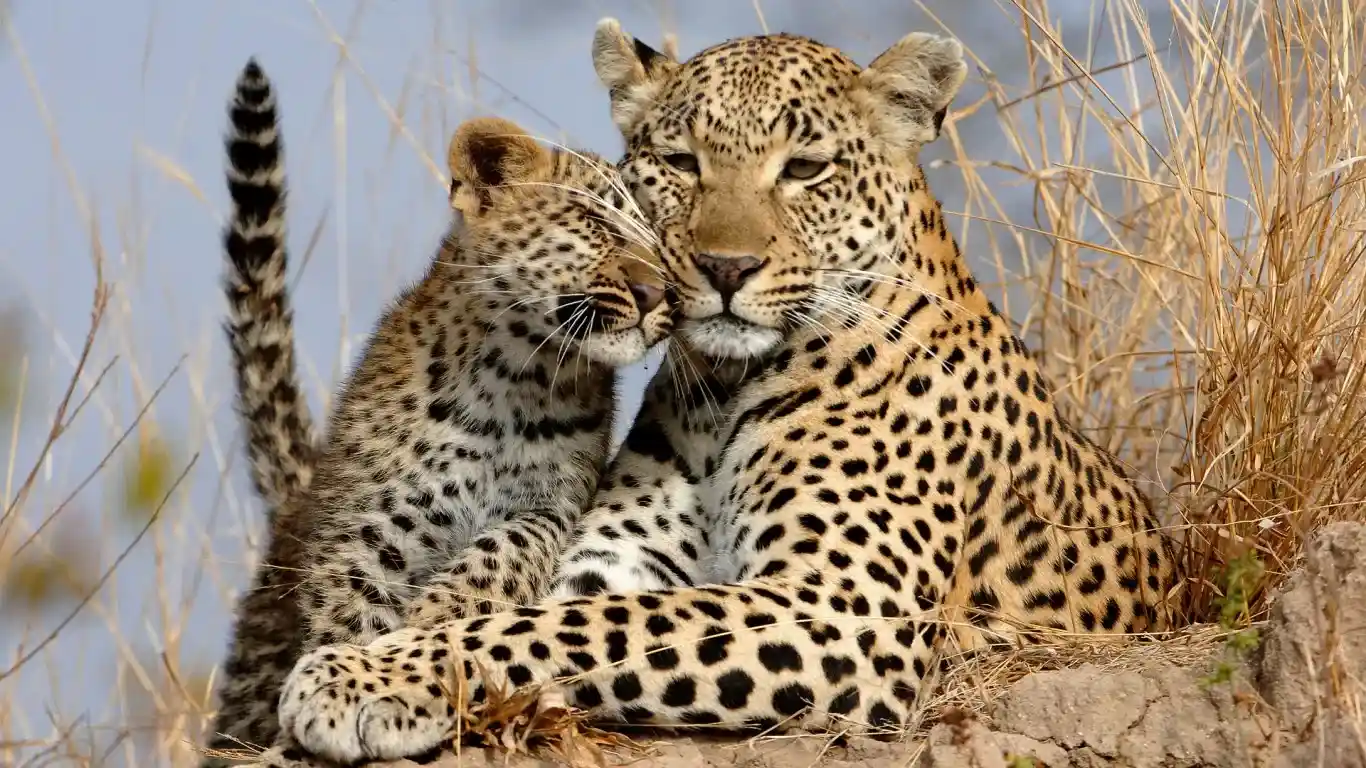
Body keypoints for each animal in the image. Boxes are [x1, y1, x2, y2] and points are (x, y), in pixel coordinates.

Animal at [198, 59, 675, 764]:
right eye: (594, 222)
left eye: (671, 250)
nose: (655, 293)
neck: (517, 378)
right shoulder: (370, 520)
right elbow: (349, 607)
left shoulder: (553, 504)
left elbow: (506, 552)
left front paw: (436, 620)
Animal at [269, 23, 1179, 765]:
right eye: (681, 164)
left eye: (805, 169)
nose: (725, 269)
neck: (724, 390)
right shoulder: (609, 566)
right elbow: (557, 617)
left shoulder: (842, 607)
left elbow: (574, 630)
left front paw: (358, 678)